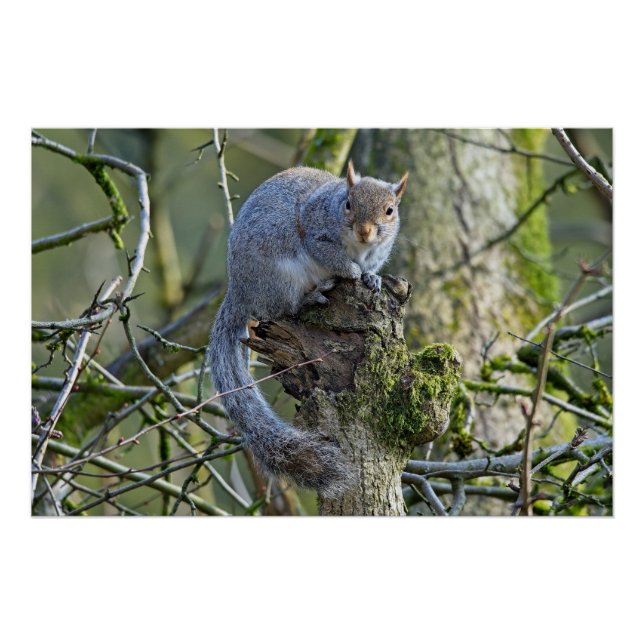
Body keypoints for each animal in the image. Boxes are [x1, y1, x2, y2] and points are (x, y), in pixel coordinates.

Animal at [208, 160, 409, 498]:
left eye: (390, 210)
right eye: (348, 204)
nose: (364, 231)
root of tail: (239, 291)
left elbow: (371, 269)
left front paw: (372, 278)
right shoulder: (316, 234)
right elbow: (332, 256)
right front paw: (352, 271)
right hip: (281, 276)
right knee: (282, 308)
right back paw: (312, 296)